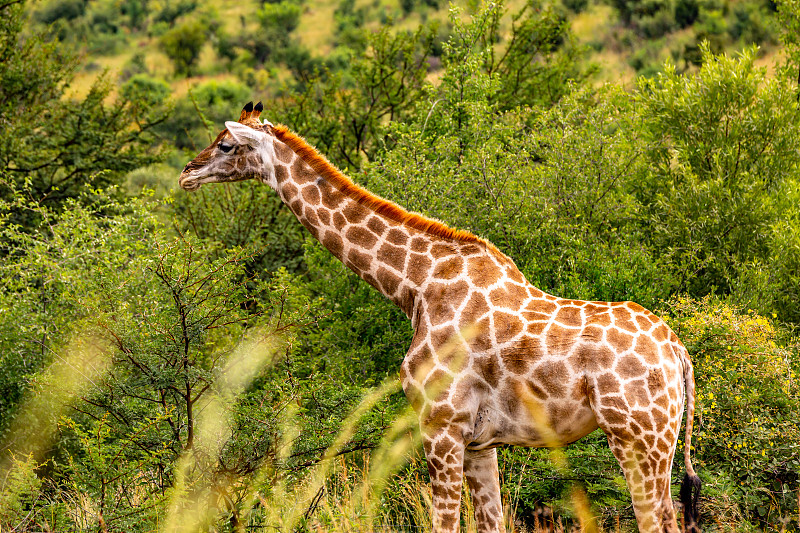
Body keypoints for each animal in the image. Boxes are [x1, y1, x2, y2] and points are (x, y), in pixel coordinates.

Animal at [180, 102, 700, 528]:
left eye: (225, 143)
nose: (186, 173)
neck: (415, 286)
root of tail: (679, 353)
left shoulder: (440, 424)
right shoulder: (481, 443)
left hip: (638, 437)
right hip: (662, 439)